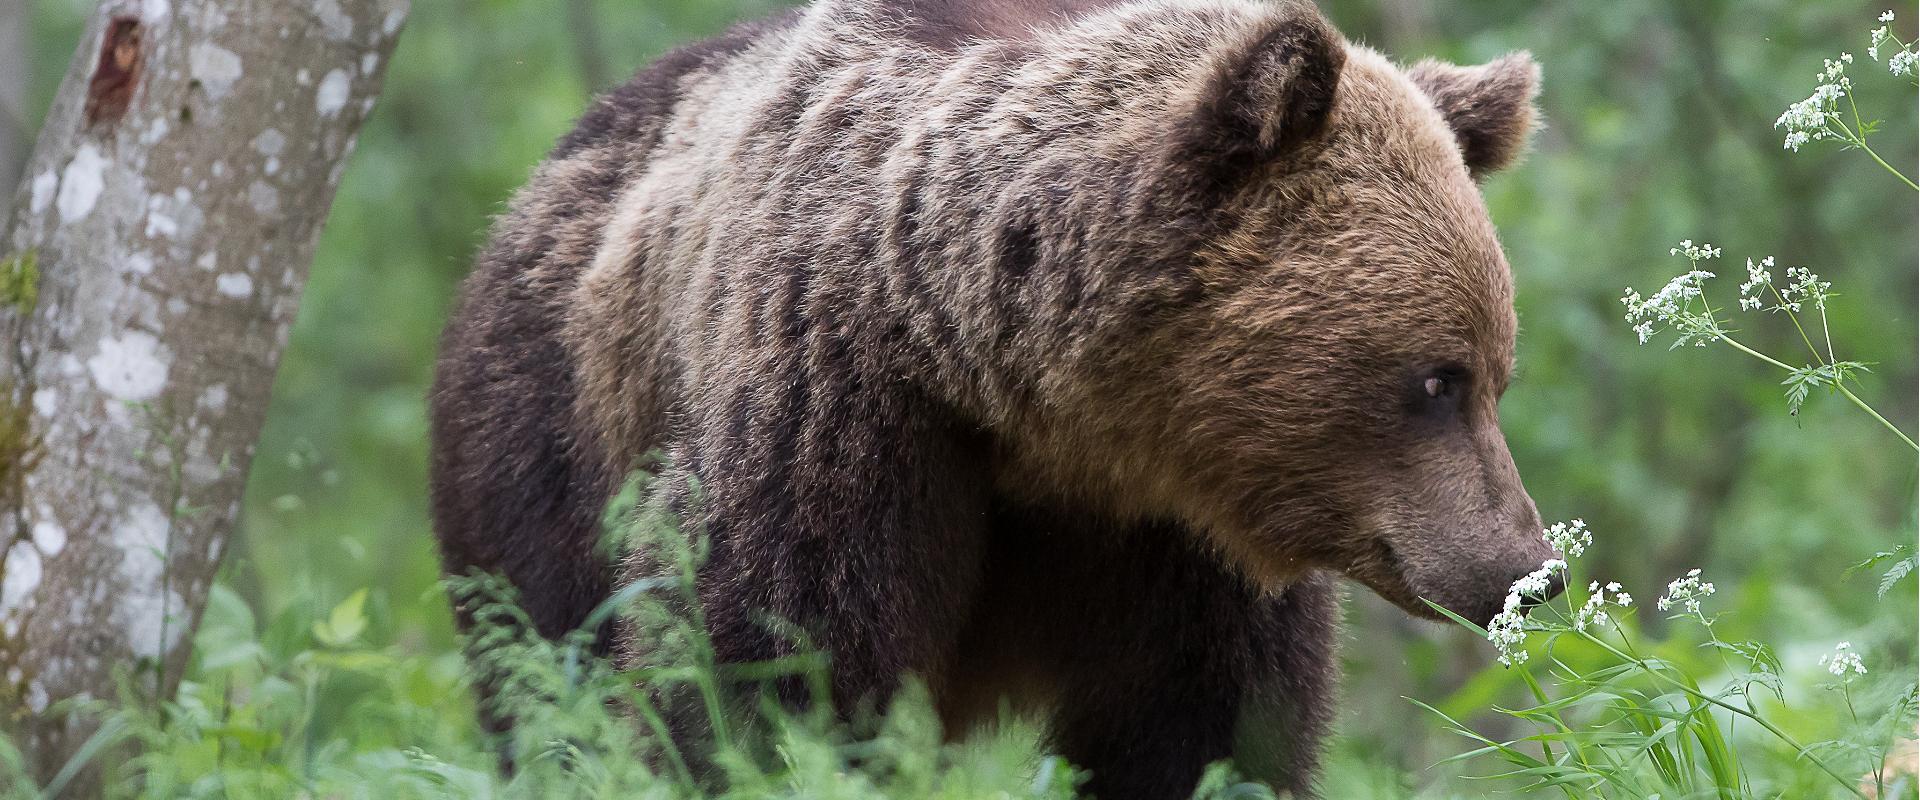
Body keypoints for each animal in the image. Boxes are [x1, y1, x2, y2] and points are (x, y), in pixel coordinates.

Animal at [432, 1, 1559, 790]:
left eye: (1497, 374)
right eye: (1436, 379)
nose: (1528, 568)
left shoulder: (1174, 538)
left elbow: (1207, 726)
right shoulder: (834, 415)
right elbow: (757, 670)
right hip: (545, 440)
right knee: (547, 674)